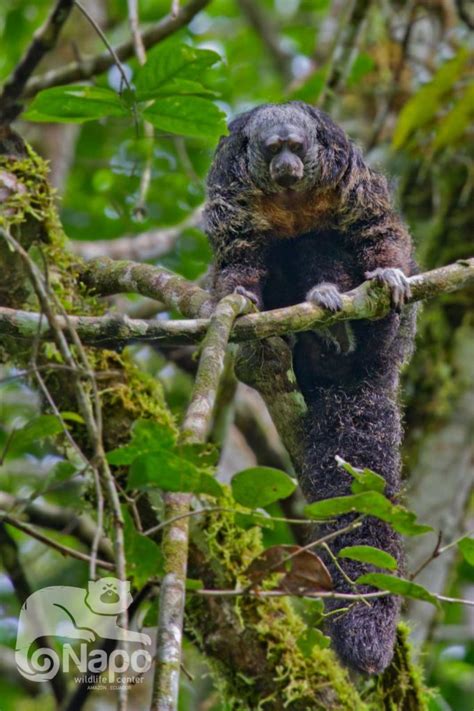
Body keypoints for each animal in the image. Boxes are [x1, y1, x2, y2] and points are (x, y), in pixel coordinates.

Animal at [205, 100, 418, 672]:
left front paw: (387, 274)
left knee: (322, 246)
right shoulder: (231, 194)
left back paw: (349, 320)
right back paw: (323, 320)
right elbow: (240, 255)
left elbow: (376, 229)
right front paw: (239, 300)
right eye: (272, 149)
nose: (286, 164)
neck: (291, 196)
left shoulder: (349, 175)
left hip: (391, 350)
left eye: (296, 148)